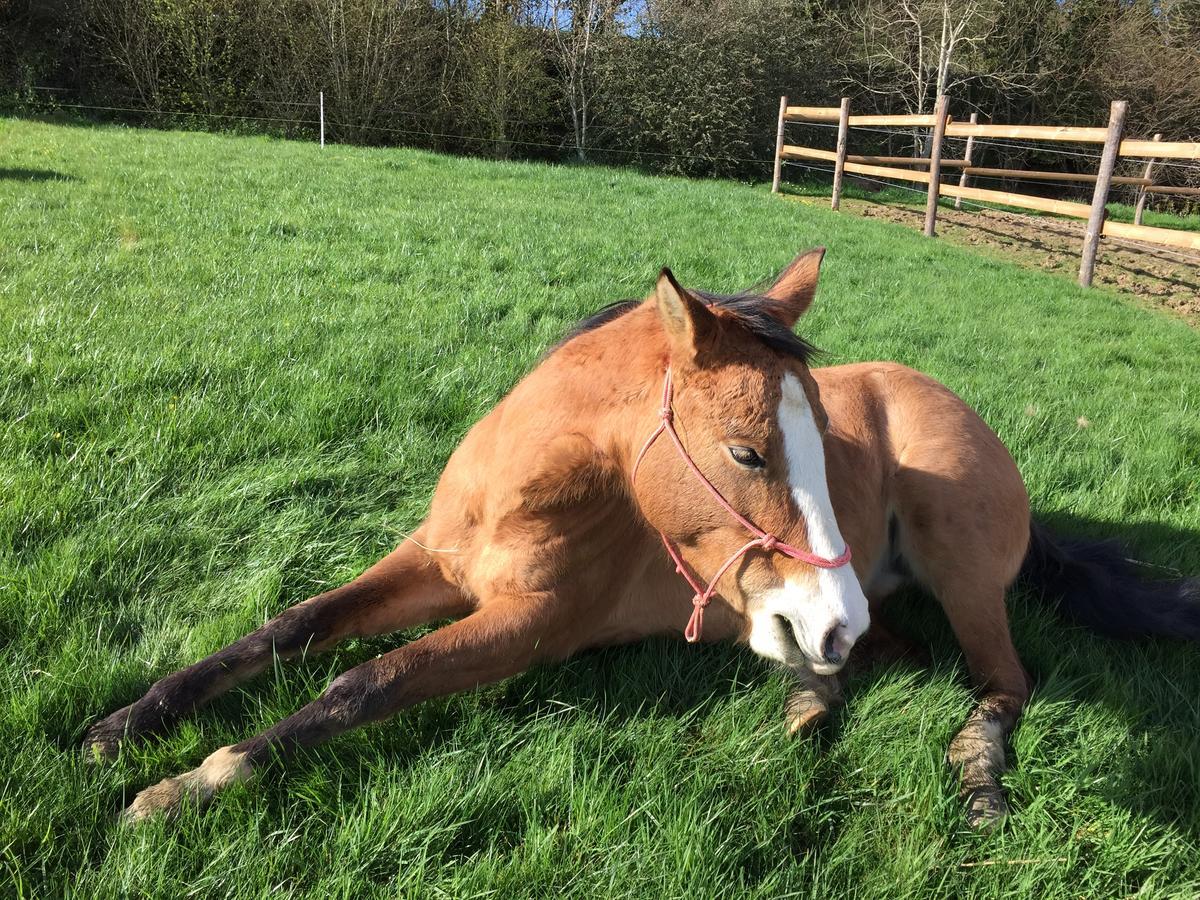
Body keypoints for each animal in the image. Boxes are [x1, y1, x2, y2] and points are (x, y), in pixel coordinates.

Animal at [88, 250, 1200, 830]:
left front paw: (194, 781)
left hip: (953, 567)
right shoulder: (429, 567)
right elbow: (289, 629)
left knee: (1001, 680)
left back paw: (973, 766)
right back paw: (811, 697)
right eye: (748, 451)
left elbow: (365, 682)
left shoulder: (530, 626)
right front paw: (132, 721)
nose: (827, 612)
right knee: (890, 648)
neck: (522, 495)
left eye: (820, 440)